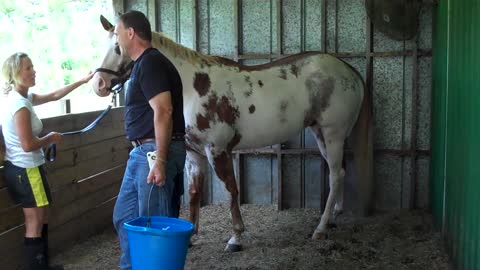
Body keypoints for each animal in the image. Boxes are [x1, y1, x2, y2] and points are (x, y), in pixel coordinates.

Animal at [91, 14, 376, 251]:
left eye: (118, 47)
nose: (98, 84)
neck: (191, 87)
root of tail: (349, 71)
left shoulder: (218, 150)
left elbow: (231, 190)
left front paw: (236, 237)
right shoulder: (194, 155)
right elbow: (194, 195)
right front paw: (191, 236)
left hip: (333, 134)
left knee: (335, 176)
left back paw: (320, 228)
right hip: (321, 134)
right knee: (339, 172)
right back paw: (334, 217)